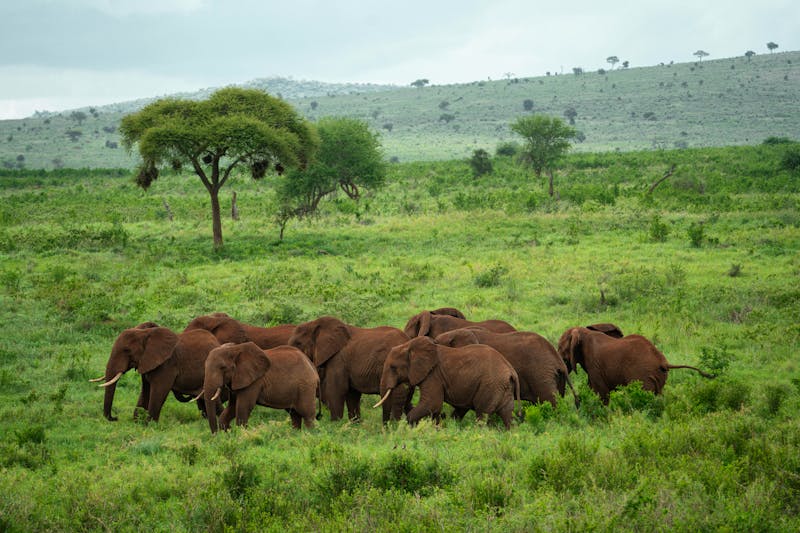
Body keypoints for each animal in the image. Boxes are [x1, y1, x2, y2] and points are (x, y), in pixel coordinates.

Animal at [376, 336, 520, 429]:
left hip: (491, 385)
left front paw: (409, 428)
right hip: (503, 386)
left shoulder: (433, 375)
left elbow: (431, 403)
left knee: (482, 414)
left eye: (393, 367)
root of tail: (511, 370)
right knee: (507, 414)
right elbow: (435, 407)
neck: (409, 346)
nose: (386, 430)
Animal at [558, 327, 714, 404]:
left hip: (643, 376)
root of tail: (663, 362)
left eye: (560, 348)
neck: (584, 333)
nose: (576, 402)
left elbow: (601, 393)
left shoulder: (595, 365)